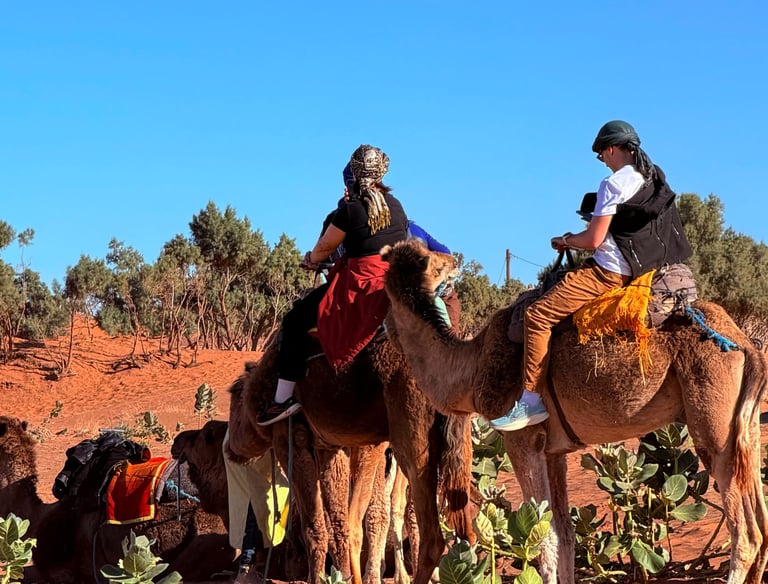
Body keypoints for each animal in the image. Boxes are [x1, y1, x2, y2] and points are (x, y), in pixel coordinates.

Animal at [227, 329, 476, 584]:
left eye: (233, 398)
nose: (229, 447)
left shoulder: (289, 437)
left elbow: (315, 527)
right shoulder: (329, 447)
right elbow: (339, 524)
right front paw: (341, 575)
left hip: (410, 437)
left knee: (427, 533)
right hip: (455, 445)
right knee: (460, 528)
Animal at [380, 239, 768, 584]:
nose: (383, 331)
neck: (471, 370)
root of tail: (744, 344)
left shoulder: (521, 441)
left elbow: (545, 538)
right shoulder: (554, 451)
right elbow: (565, 536)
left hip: (712, 423)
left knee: (746, 534)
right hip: (744, 428)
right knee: (761, 523)